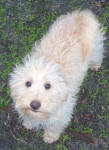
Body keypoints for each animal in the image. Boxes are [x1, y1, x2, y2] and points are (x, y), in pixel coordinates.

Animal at [8, 9, 104, 144]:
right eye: (28, 83)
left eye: (48, 85)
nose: (34, 105)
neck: (47, 62)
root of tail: (82, 14)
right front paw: (29, 123)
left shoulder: (63, 113)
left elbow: (54, 126)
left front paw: (50, 137)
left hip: (96, 50)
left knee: (98, 56)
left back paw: (95, 65)